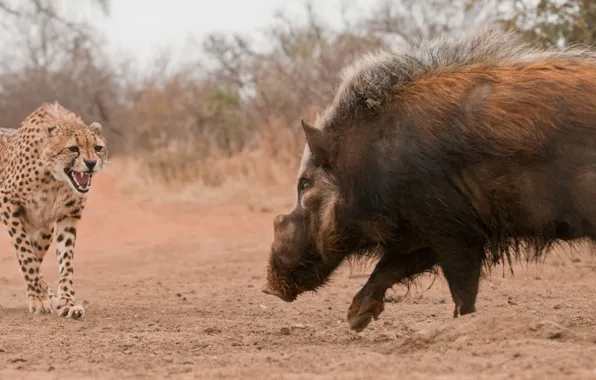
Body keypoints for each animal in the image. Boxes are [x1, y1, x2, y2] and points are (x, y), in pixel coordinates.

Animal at [0, 102, 108, 320]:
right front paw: (38, 299)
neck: (54, 179)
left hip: (44, 230)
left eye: (98, 148)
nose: (91, 163)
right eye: (73, 149)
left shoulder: (68, 216)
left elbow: (64, 263)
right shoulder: (7, 202)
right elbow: (26, 256)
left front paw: (67, 303)